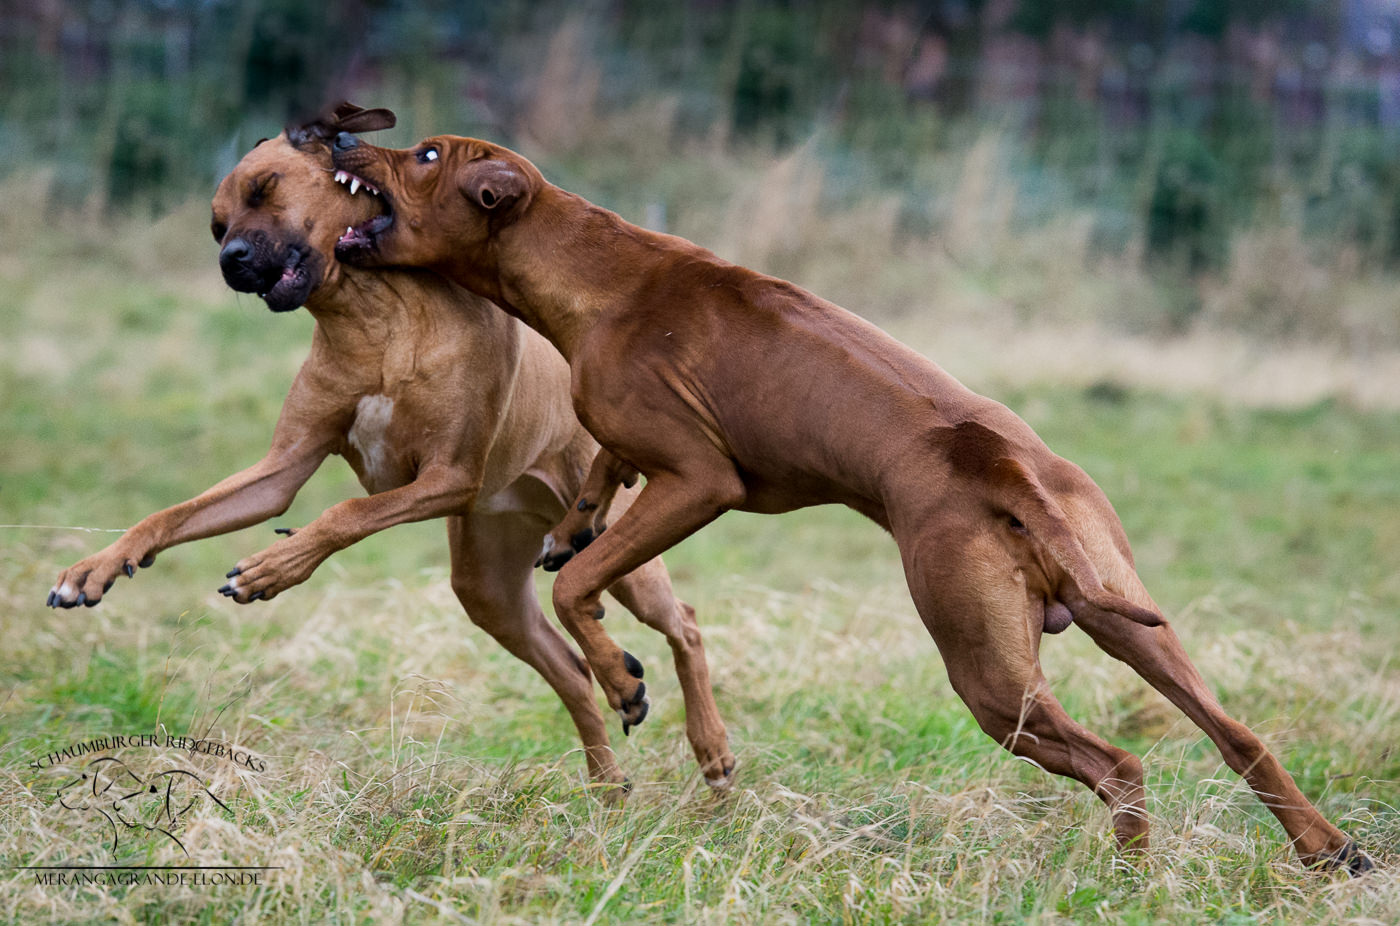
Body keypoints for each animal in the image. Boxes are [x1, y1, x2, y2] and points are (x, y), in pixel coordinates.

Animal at [47, 106, 739, 790]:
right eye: (217, 225)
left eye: (265, 188)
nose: (229, 260)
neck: (372, 316)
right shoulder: (281, 471)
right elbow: (172, 515)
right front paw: (95, 567)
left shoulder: (448, 477)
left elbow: (346, 513)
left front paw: (278, 565)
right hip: (487, 585)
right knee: (569, 669)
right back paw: (607, 783)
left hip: (618, 540)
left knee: (683, 621)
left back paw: (709, 748)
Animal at [327, 130, 1377, 874]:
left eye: (425, 154)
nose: (334, 139)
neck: (595, 269)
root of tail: (1005, 467)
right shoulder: (631, 450)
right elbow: (593, 496)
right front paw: (577, 525)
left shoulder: (700, 482)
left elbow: (579, 586)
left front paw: (622, 677)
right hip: (1126, 616)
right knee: (1239, 734)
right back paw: (1327, 850)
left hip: (989, 677)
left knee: (1120, 764)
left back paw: (1129, 884)